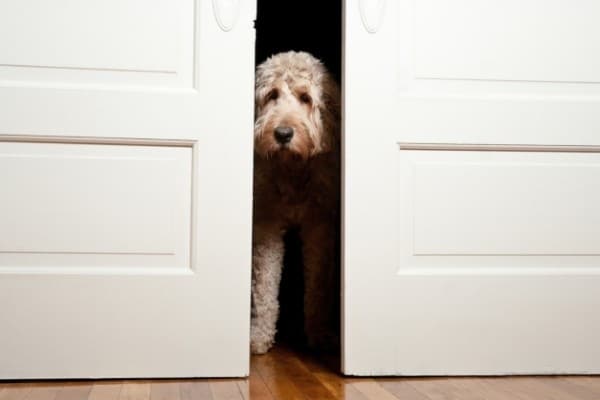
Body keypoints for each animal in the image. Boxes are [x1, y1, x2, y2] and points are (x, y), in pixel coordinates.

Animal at [251, 50, 340, 354]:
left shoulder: (319, 224)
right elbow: (264, 284)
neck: (292, 168)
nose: (283, 134)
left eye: (305, 98)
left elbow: (317, 285)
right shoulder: (266, 222)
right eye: (272, 95)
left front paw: (320, 333)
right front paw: (260, 334)